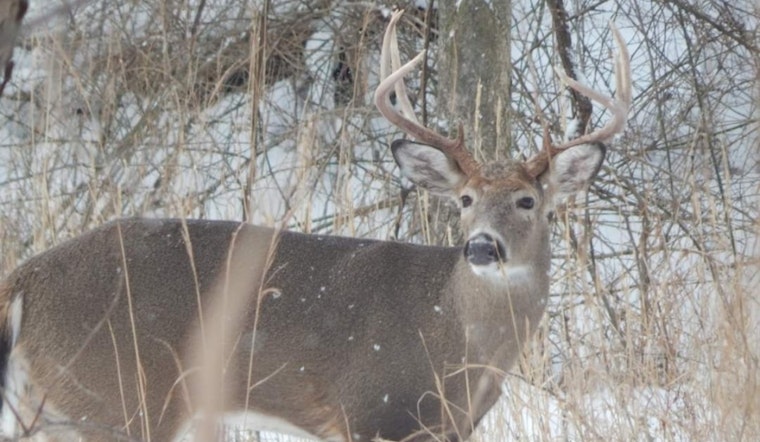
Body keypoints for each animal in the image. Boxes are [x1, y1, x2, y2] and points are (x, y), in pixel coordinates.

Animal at [0, 10, 630, 442]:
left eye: (527, 201)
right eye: (466, 199)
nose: (481, 247)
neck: (460, 342)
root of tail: (23, 280)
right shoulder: (370, 409)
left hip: (53, 407)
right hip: (120, 396)